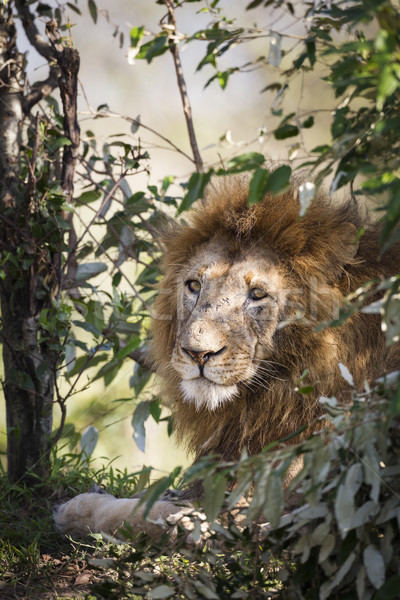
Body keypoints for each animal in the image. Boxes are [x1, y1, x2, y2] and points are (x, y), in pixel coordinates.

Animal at [54, 176, 400, 536]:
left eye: (257, 294)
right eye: (194, 285)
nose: (198, 353)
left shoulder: (253, 508)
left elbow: (138, 514)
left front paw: (74, 507)